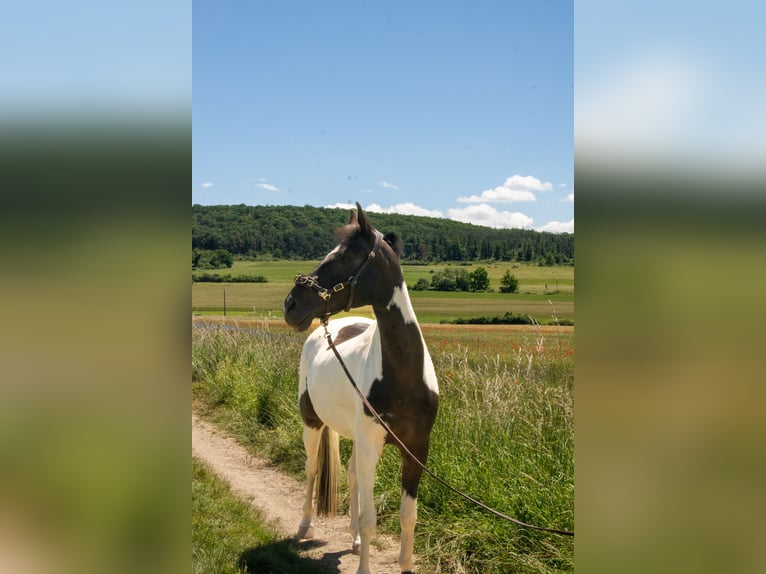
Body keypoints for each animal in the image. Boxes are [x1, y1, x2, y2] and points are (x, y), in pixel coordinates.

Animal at [284, 204, 440, 574]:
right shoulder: (371, 444)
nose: (290, 305)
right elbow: (371, 520)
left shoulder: (417, 450)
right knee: (312, 469)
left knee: (353, 475)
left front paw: (405, 565)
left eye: (343, 256)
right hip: (312, 424)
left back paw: (353, 539)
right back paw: (304, 525)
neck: (403, 378)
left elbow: (408, 517)